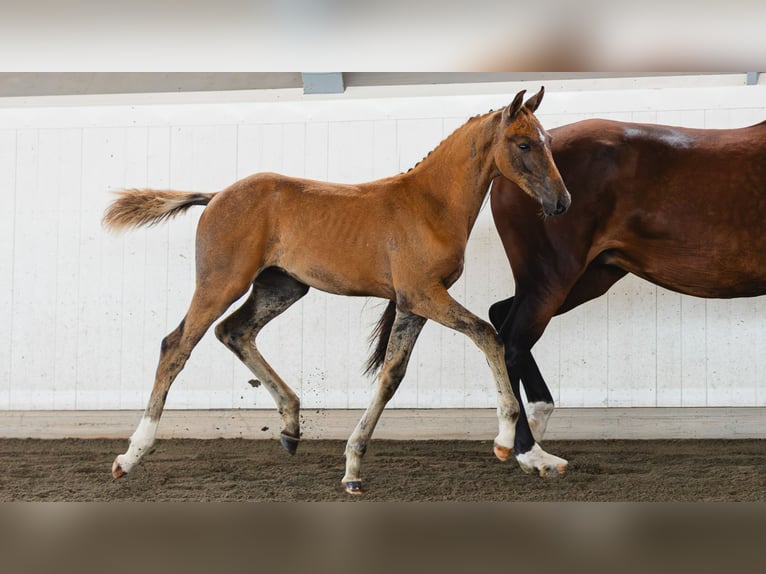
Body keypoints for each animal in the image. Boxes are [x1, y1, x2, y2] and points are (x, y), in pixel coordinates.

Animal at [103, 87, 571, 494]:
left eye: (547, 141)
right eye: (524, 144)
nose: (562, 202)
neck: (431, 204)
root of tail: (217, 195)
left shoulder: (410, 304)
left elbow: (391, 376)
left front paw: (352, 468)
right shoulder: (423, 294)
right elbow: (487, 336)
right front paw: (505, 439)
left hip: (282, 287)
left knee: (234, 332)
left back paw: (291, 427)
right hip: (221, 282)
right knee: (176, 345)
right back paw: (130, 455)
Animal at [482, 117, 766, 465]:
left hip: (587, 278)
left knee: (499, 317)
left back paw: (520, 430)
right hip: (551, 279)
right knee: (512, 343)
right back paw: (531, 453)